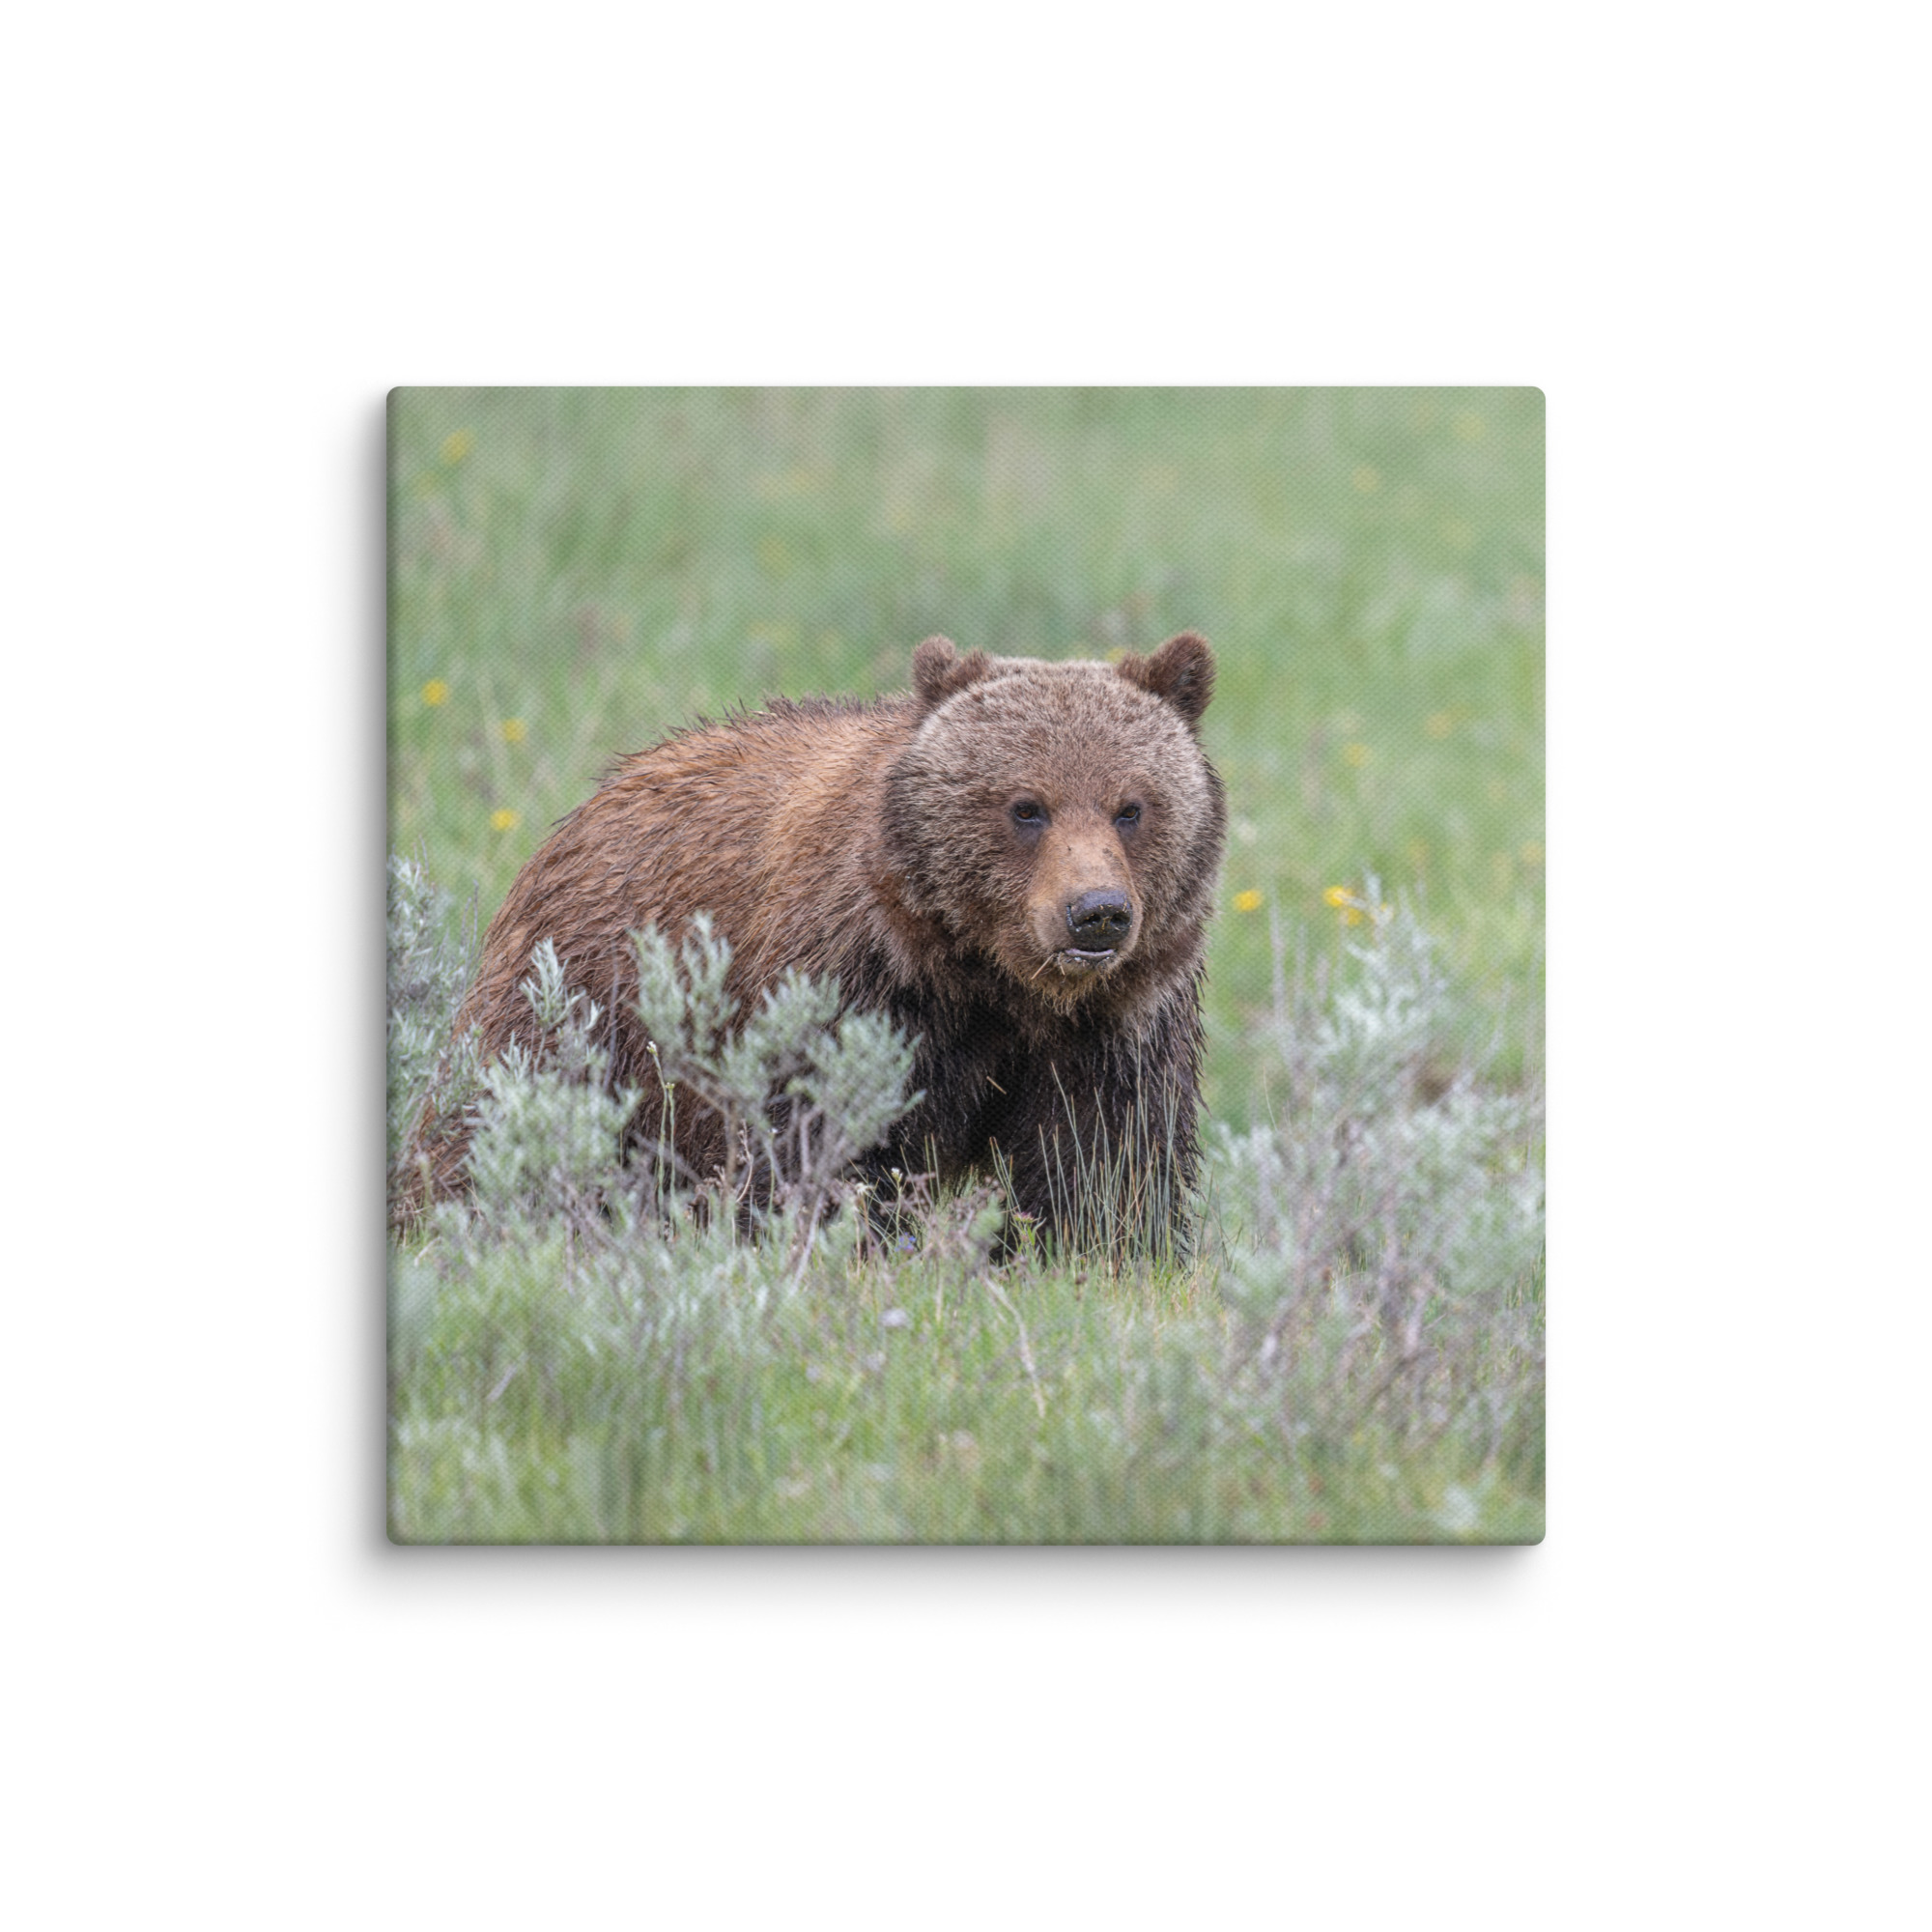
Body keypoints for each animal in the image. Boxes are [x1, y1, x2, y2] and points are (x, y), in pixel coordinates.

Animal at [400, 632, 1227, 1248]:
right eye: (1026, 806)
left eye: (1131, 806)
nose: (1096, 913)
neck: (991, 979)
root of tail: (589, 801)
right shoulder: (855, 987)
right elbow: (819, 1142)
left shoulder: (1115, 1023)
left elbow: (1105, 1164)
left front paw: (1097, 1252)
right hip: (585, 997)